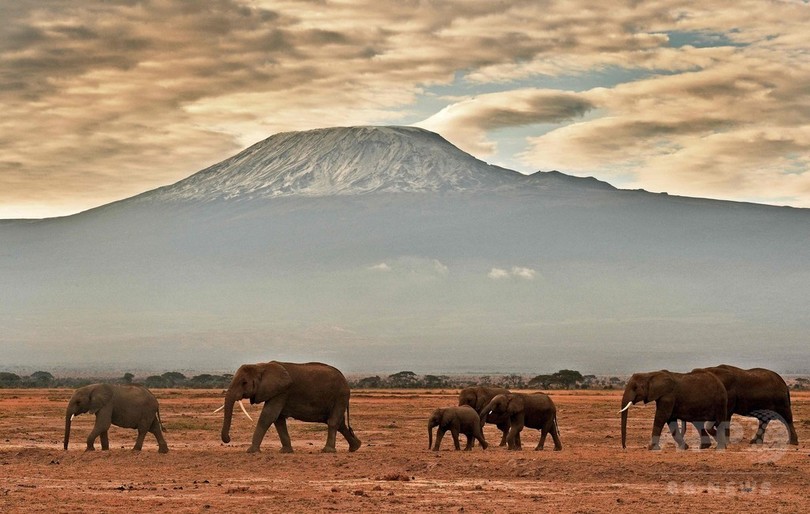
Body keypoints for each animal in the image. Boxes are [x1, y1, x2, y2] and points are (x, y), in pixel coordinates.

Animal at [219, 360, 362, 452]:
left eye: (244, 382)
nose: (228, 439)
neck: (261, 366)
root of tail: (345, 380)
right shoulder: (278, 392)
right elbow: (278, 420)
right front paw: (285, 451)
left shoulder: (282, 391)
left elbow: (268, 416)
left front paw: (251, 451)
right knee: (340, 424)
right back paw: (355, 447)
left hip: (340, 396)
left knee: (333, 422)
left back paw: (327, 451)